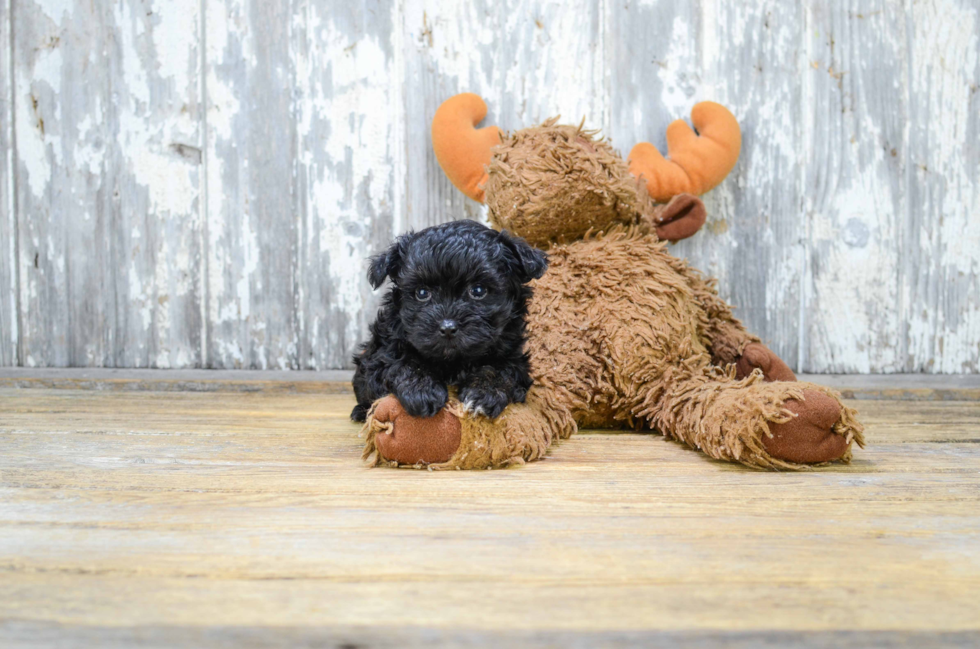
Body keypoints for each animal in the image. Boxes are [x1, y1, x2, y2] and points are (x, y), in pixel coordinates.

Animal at [352, 220, 552, 422]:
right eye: (422, 293)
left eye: (478, 290)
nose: (447, 328)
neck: (454, 360)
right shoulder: (377, 359)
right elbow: (401, 362)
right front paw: (422, 390)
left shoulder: (516, 360)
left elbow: (501, 369)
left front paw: (483, 392)